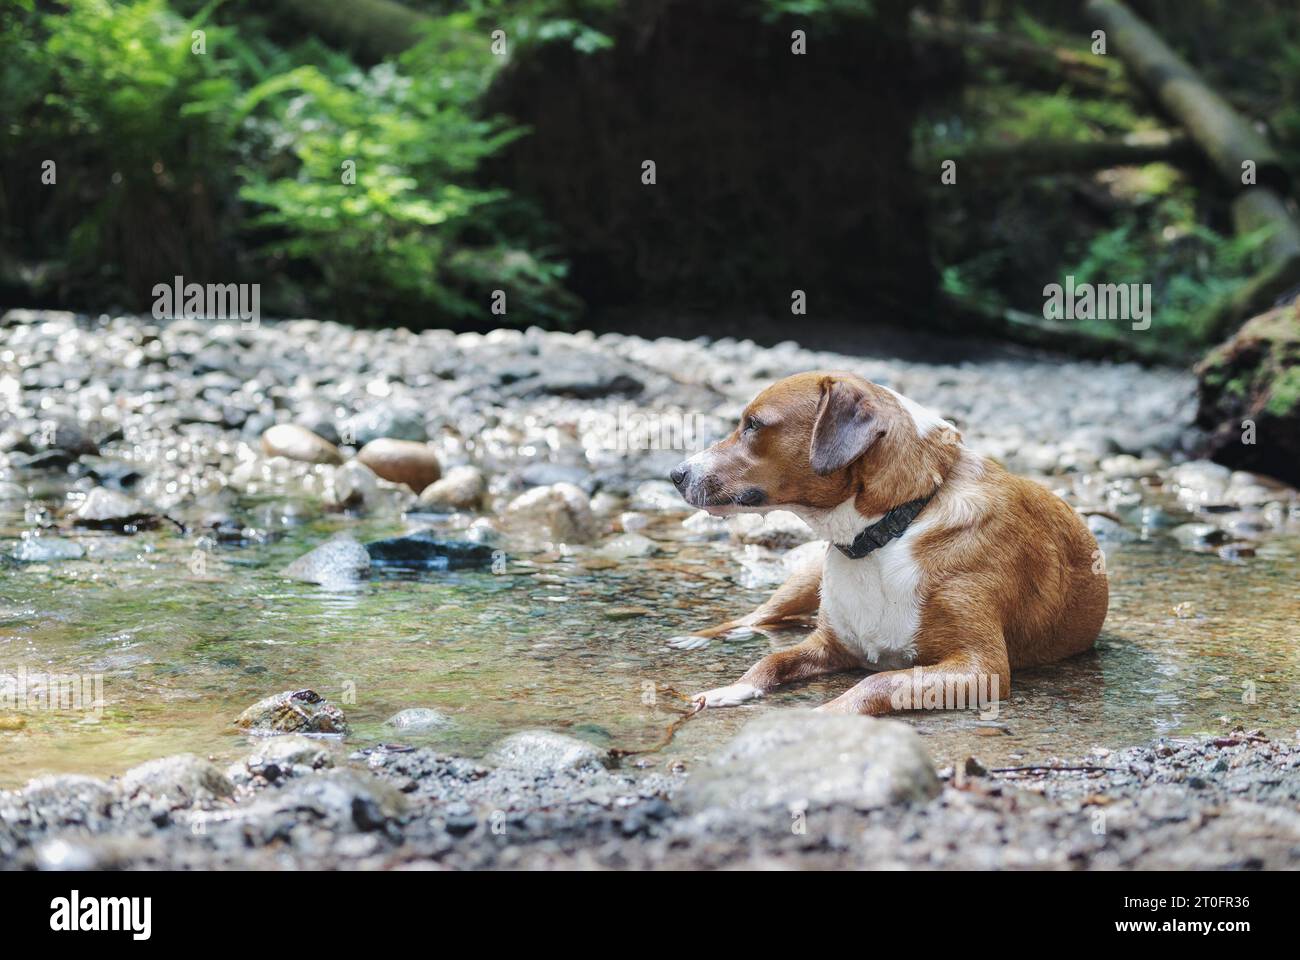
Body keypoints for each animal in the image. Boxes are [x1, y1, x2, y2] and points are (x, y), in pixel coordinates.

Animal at [670, 369, 1107, 712]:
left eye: (754, 425)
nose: (676, 473)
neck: (893, 525)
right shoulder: (828, 645)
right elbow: (772, 659)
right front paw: (735, 686)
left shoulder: (982, 667)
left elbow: (878, 681)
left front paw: (824, 717)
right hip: (806, 578)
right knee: (758, 617)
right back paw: (697, 638)